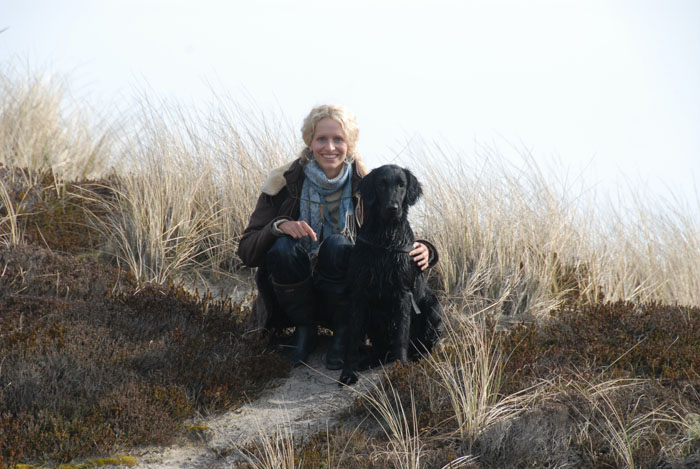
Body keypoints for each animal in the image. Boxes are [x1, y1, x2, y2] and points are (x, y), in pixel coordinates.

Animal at [340, 165, 442, 384]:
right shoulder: (359, 294)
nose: (392, 208)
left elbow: (401, 334)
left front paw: (401, 366)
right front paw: (348, 372)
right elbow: (353, 337)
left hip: (432, 305)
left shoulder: (403, 293)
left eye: (401, 185)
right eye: (381, 184)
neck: (386, 237)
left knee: (429, 343)